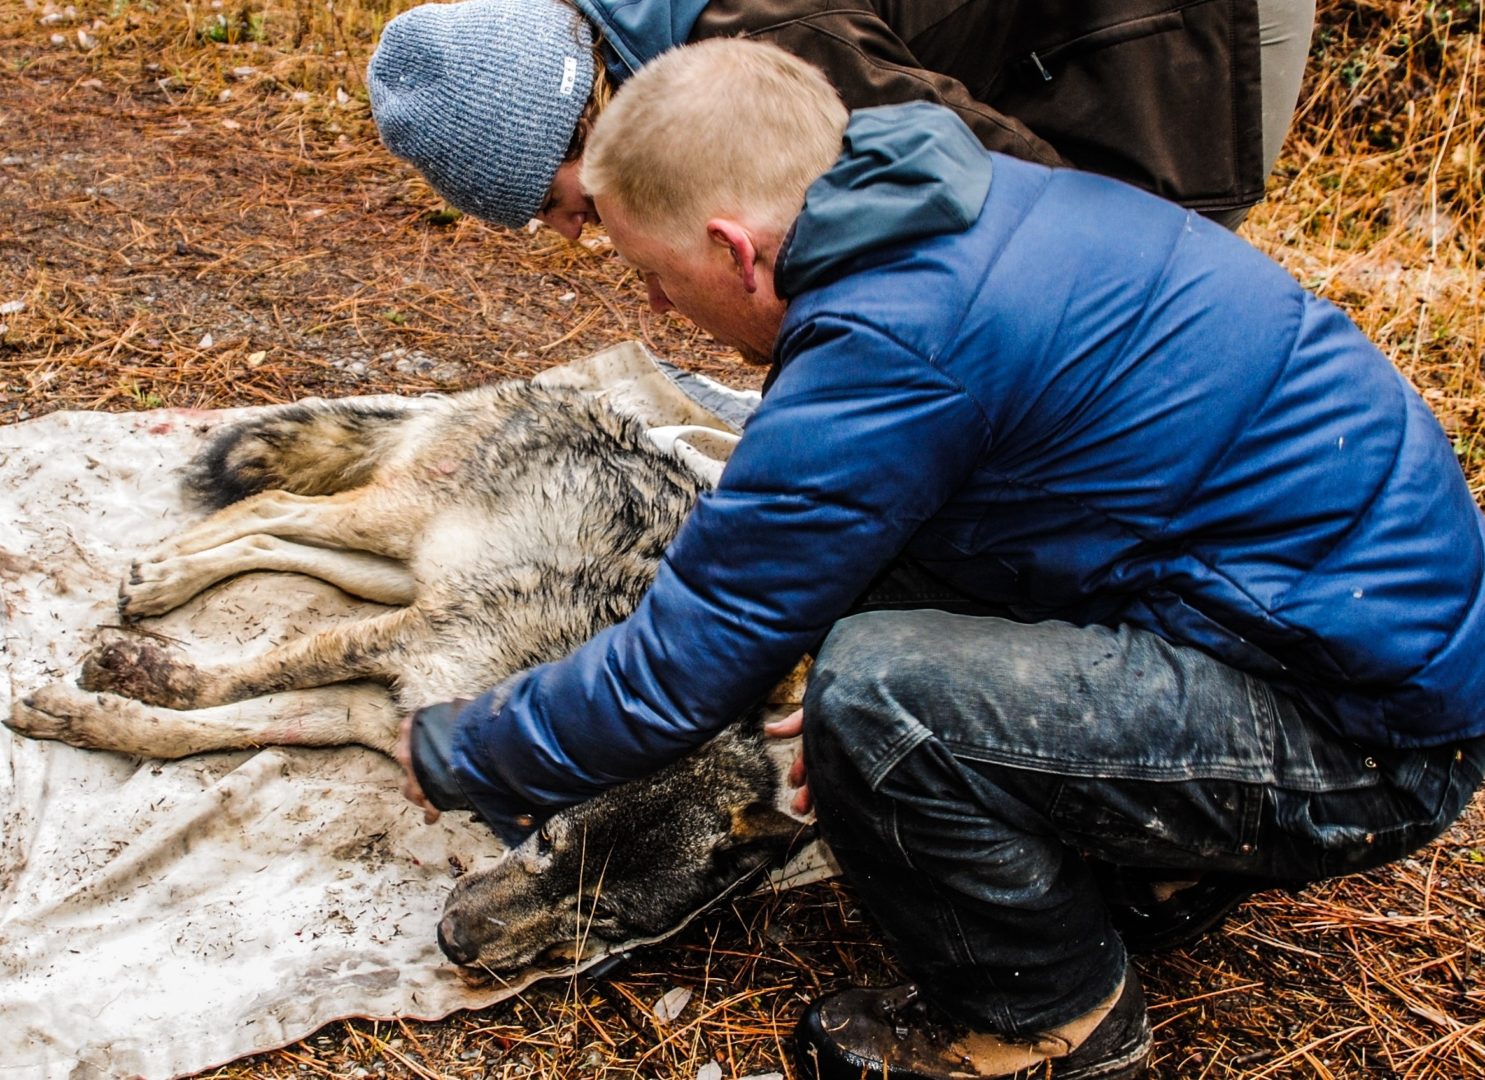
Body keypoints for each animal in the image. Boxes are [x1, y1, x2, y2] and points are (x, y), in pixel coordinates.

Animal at [7, 380, 807, 974]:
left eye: (601, 913)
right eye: (548, 841)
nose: (456, 943)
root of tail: (555, 388)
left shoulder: (376, 707)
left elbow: (215, 727)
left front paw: (97, 714)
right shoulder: (401, 640)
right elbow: (232, 685)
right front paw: (126, 679)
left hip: (397, 571)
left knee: (278, 539)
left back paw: (164, 577)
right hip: (392, 536)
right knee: (275, 505)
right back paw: (159, 575)